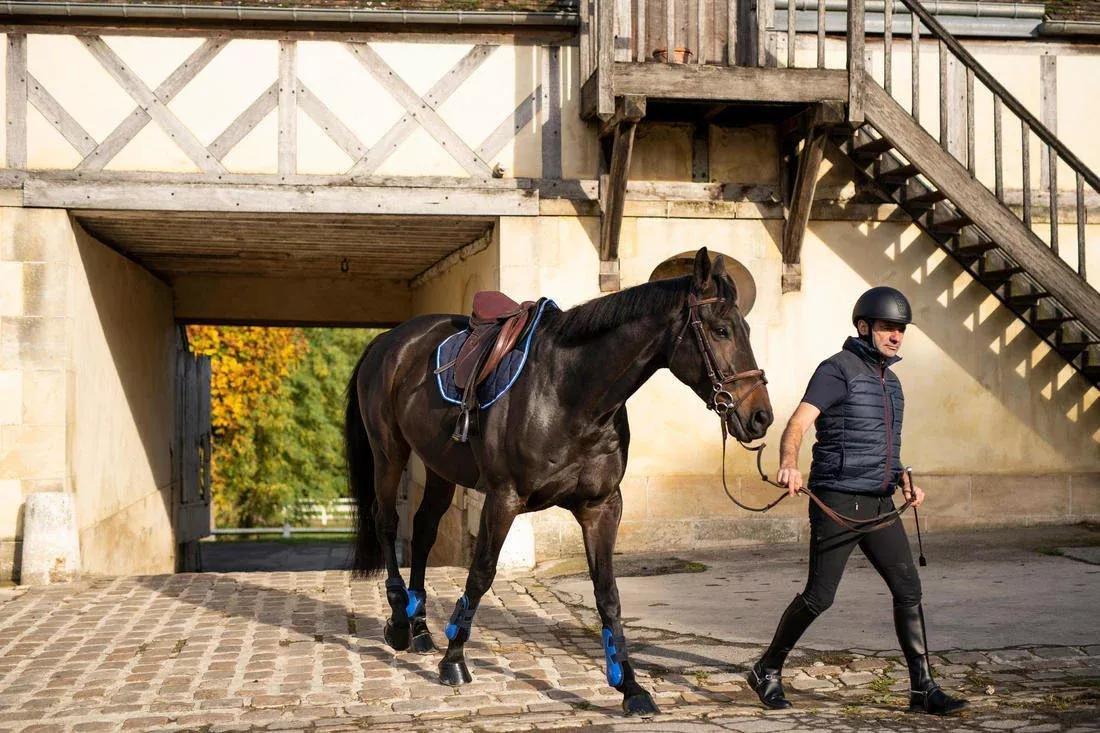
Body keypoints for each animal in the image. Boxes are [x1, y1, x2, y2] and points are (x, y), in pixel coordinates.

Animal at [345, 244, 774, 708]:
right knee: (388, 523)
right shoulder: (503, 499)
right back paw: (398, 623)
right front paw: (454, 661)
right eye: (720, 330)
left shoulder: (601, 506)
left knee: (423, 531)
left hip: (440, 467)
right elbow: (481, 574)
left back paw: (421, 627)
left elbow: (607, 592)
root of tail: (388, 341)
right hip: (390, 452)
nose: (760, 417)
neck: (571, 391)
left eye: (746, 329)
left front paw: (629, 685)